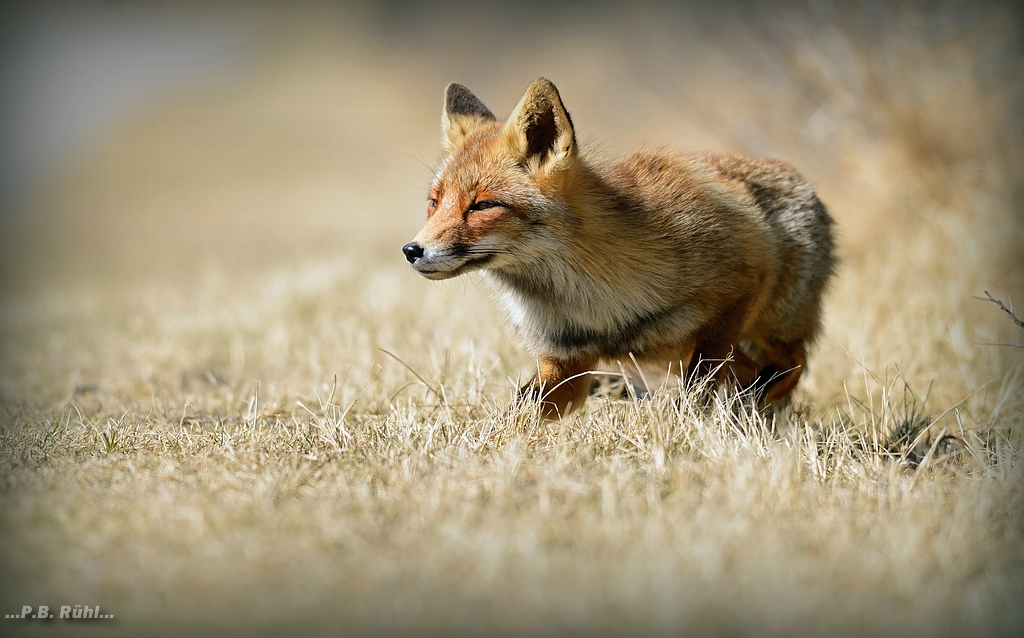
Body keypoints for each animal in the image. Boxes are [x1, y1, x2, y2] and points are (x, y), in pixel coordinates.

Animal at [399, 78, 831, 419]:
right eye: (434, 202)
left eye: (482, 206)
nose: (412, 250)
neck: (588, 299)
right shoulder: (566, 359)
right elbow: (516, 413)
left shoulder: (740, 282)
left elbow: (703, 379)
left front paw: (684, 420)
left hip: (772, 325)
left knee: (791, 364)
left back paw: (758, 402)